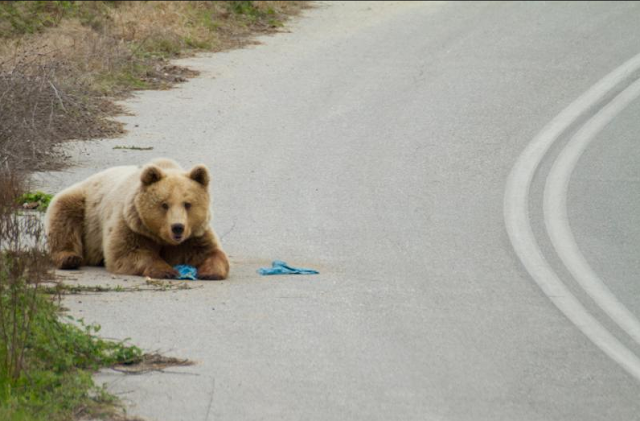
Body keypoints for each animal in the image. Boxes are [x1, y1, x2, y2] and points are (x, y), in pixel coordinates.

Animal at [43, 158, 228, 278]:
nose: (177, 227)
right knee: (64, 217)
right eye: (164, 204)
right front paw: (167, 270)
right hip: (83, 204)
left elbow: (209, 251)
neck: (160, 236)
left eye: (187, 204)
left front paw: (209, 272)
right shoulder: (131, 225)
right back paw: (69, 258)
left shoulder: (193, 235)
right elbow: (127, 253)